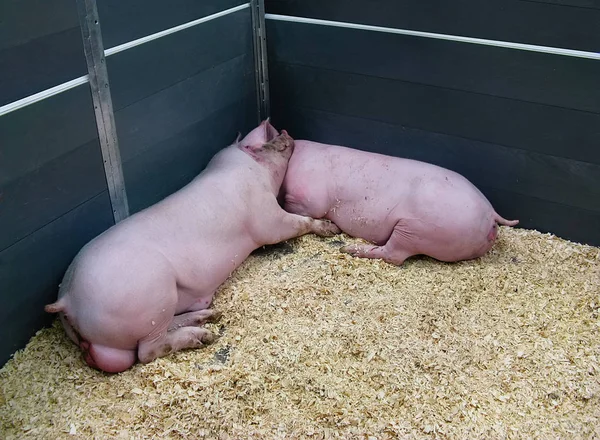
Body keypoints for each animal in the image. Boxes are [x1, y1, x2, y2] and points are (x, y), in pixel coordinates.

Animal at [44, 121, 340, 374]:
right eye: (267, 143)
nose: (287, 132)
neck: (252, 170)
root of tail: (68, 298)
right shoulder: (265, 217)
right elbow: (294, 224)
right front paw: (330, 229)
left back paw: (211, 315)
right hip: (153, 298)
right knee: (147, 351)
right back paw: (204, 337)